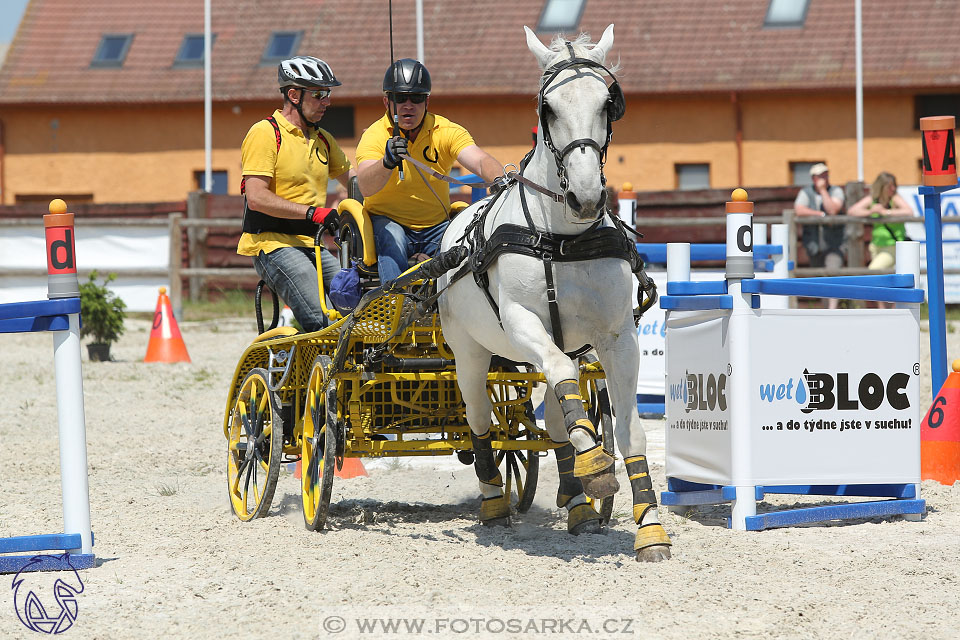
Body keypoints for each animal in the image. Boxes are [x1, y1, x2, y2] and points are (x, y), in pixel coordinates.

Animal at [438, 23, 672, 560]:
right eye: (548, 109)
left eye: (608, 103)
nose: (585, 197)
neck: (562, 238)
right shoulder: (523, 325)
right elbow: (562, 376)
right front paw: (594, 465)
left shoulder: (617, 338)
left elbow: (628, 431)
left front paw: (649, 528)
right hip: (469, 352)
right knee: (480, 417)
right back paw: (494, 501)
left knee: (555, 421)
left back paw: (579, 503)